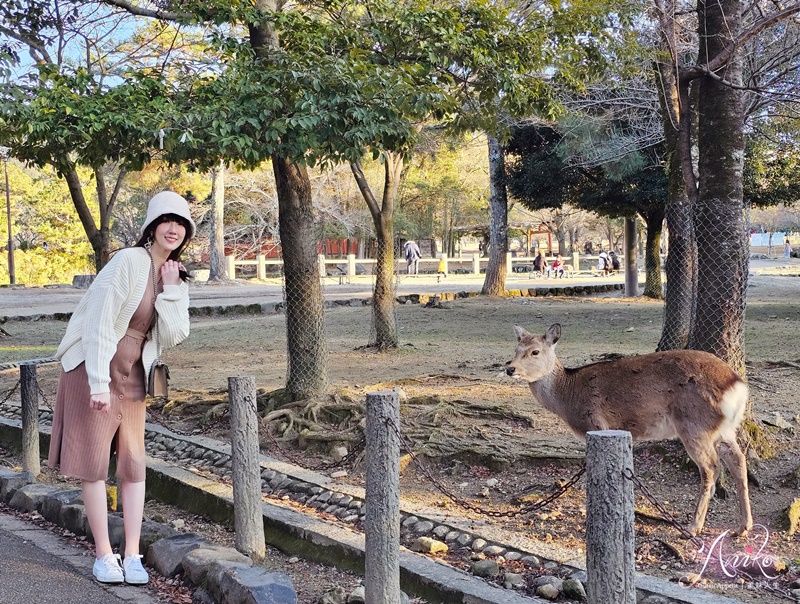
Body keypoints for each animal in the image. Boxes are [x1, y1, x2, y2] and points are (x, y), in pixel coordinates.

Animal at [510, 324, 752, 536]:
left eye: (535, 351)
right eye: (516, 349)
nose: (509, 368)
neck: (569, 396)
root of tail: (738, 386)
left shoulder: (595, 423)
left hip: (694, 424)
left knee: (711, 467)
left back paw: (693, 527)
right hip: (724, 429)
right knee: (738, 460)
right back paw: (743, 527)